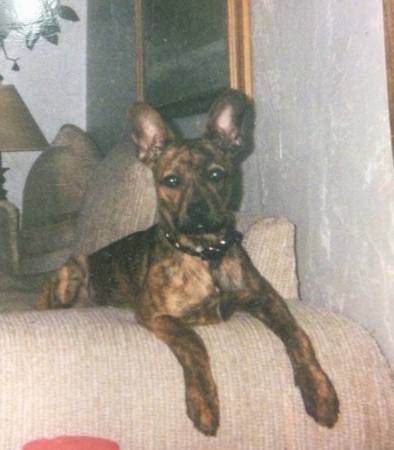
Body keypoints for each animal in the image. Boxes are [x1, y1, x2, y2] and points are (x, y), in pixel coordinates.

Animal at [37, 89, 338, 436]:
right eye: (171, 181)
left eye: (216, 175)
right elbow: (194, 343)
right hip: (73, 270)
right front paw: (203, 403)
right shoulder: (156, 314)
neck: (206, 254)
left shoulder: (269, 300)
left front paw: (320, 392)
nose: (197, 211)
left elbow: (299, 336)